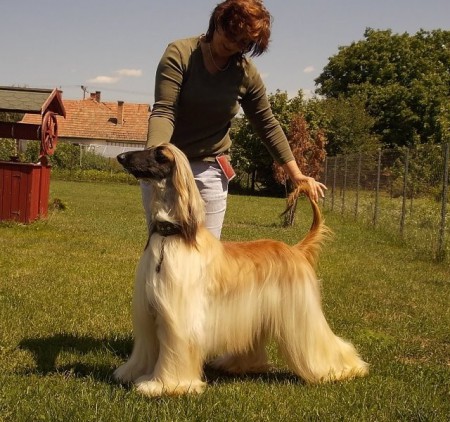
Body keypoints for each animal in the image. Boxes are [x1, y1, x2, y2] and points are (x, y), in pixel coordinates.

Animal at [114, 144, 368, 396]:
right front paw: (132, 373)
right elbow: (146, 347)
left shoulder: (178, 316)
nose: (121, 157)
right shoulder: (149, 311)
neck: (171, 235)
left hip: (301, 312)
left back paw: (346, 368)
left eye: (159, 154)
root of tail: (296, 249)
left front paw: (163, 385)